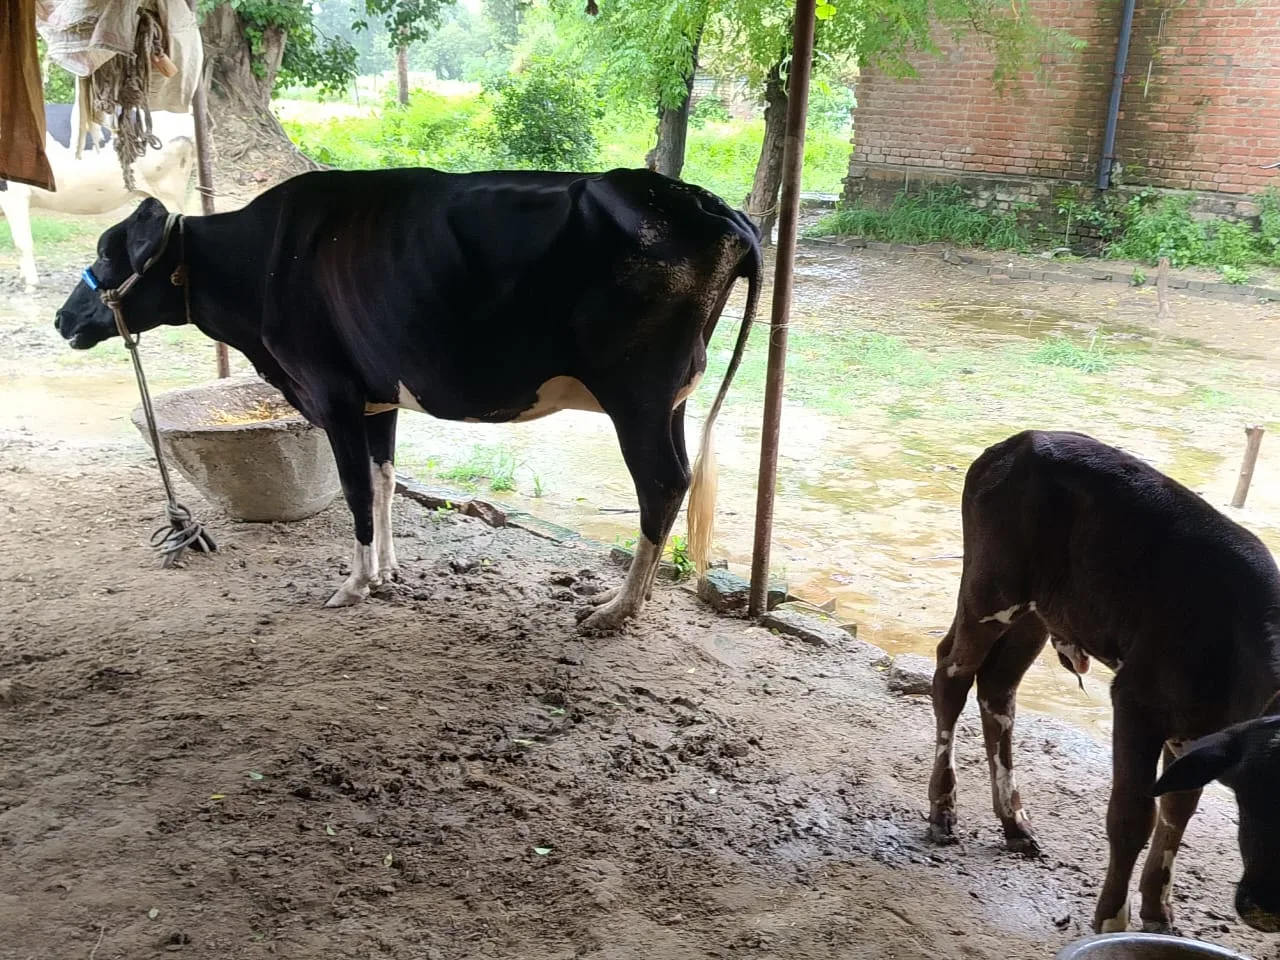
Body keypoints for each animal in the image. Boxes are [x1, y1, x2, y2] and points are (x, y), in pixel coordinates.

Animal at [52, 167, 762, 632]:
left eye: (106, 254)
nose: (63, 319)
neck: (261, 264)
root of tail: (706, 204)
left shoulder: (332, 395)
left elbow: (355, 493)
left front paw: (356, 583)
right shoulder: (378, 398)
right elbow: (384, 480)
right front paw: (389, 571)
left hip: (638, 399)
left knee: (661, 485)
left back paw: (617, 608)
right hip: (670, 403)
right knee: (676, 480)